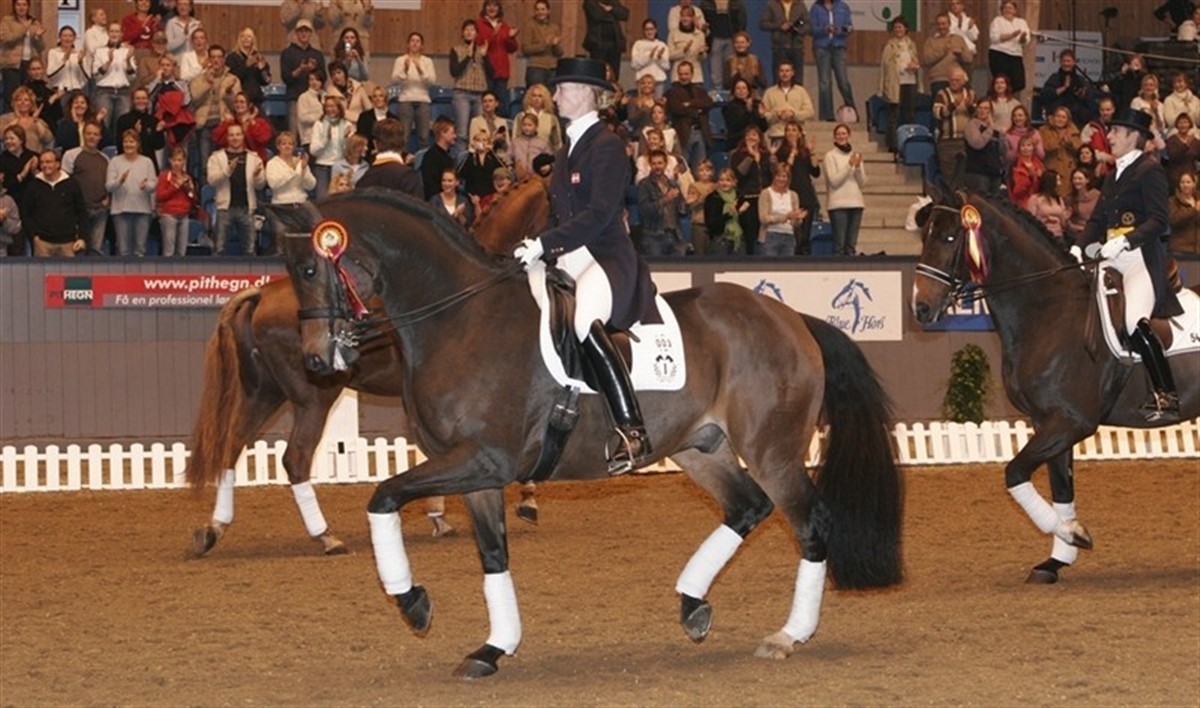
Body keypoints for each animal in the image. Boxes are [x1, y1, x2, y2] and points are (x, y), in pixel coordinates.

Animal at [185, 177, 552, 557]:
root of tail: (260, 295)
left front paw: (438, 511)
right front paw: (525, 497)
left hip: (264, 392)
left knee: (232, 445)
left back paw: (213, 529)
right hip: (313, 398)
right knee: (295, 459)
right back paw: (325, 535)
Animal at [270, 188, 903, 679]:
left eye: (310, 269)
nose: (318, 360)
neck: (460, 320)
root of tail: (791, 317)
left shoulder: (482, 459)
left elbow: (383, 497)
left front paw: (413, 603)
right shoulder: (477, 473)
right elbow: (492, 554)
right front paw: (493, 648)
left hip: (771, 450)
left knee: (810, 522)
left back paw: (787, 635)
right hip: (701, 448)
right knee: (747, 507)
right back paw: (692, 604)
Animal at [910, 186, 1199, 583]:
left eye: (950, 238)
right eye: (925, 236)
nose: (920, 308)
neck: (1050, 312)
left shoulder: (1072, 422)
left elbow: (1014, 472)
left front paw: (1074, 534)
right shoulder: (1048, 421)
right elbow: (1061, 486)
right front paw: (1056, 559)